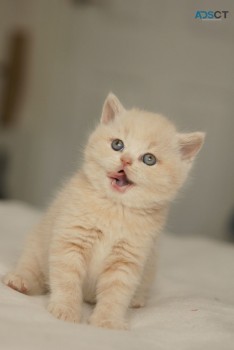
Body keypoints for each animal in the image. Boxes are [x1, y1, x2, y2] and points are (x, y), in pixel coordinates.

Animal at [3, 93, 205, 328]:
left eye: (149, 159)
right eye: (118, 144)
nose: (125, 160)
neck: (115, 209)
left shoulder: (128, 259)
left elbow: (116, 294)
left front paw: (107, 322)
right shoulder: (70, 240)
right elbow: (66, 280)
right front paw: (66, 310)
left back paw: (137, 300)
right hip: (37, 243)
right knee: (35, 272)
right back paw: (19, 281)